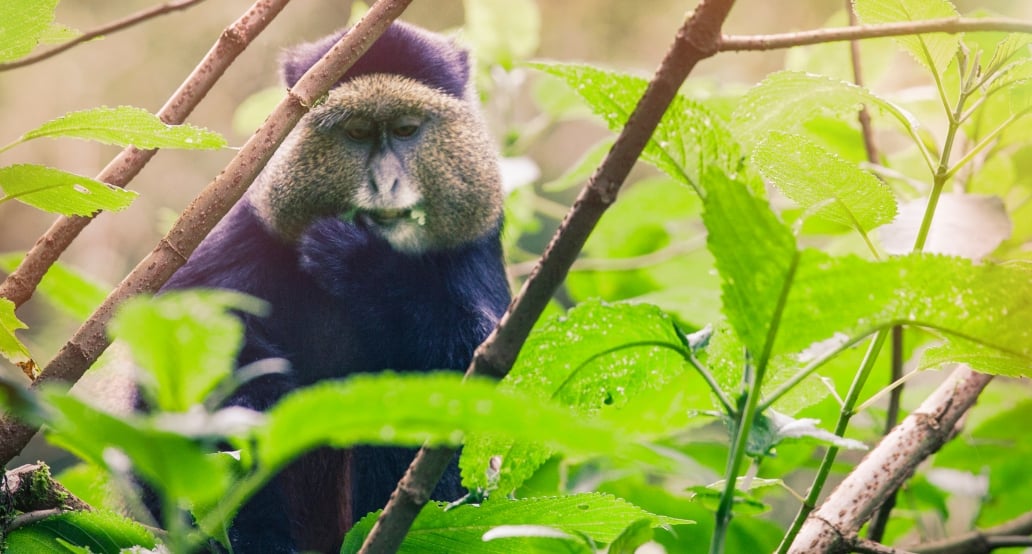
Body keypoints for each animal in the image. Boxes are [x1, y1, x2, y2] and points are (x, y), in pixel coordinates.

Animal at [149, 20, 511, 548]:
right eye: (357, 132)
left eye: (406, 130)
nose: (386, 185)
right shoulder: (247, 229)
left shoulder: (477, 243)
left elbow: (481, 367)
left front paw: (363, 264)